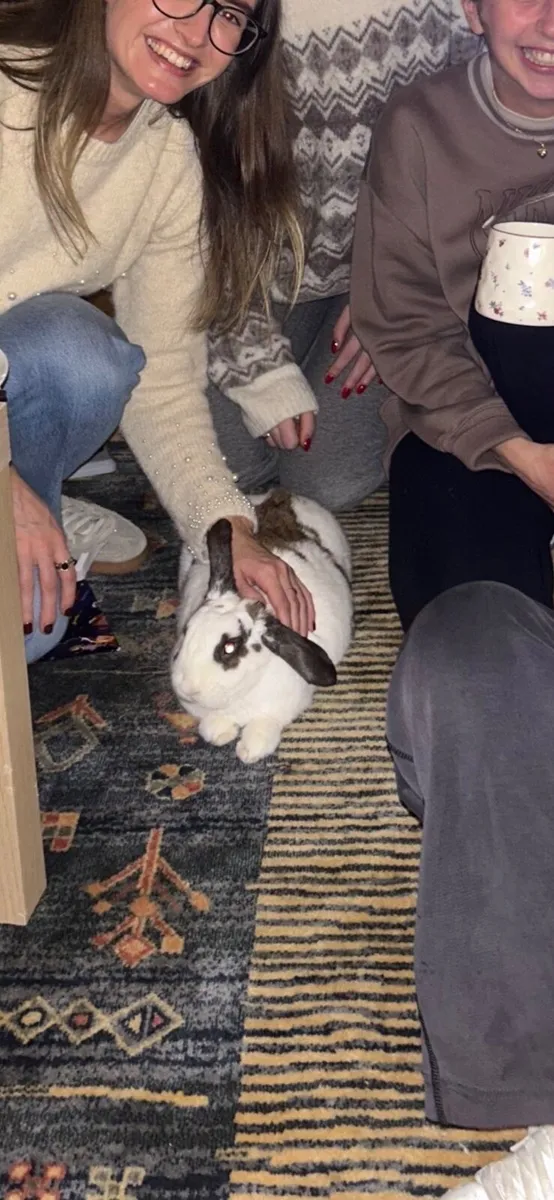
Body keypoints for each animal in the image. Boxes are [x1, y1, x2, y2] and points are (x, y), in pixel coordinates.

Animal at [171, 489, 353, 764]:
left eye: (229, 647)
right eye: (187, 631)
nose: (187, 688)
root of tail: (281, 494)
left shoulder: (279, 709)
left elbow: (265, 724)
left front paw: (249, 750)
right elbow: (210, 724)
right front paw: (220, 732)